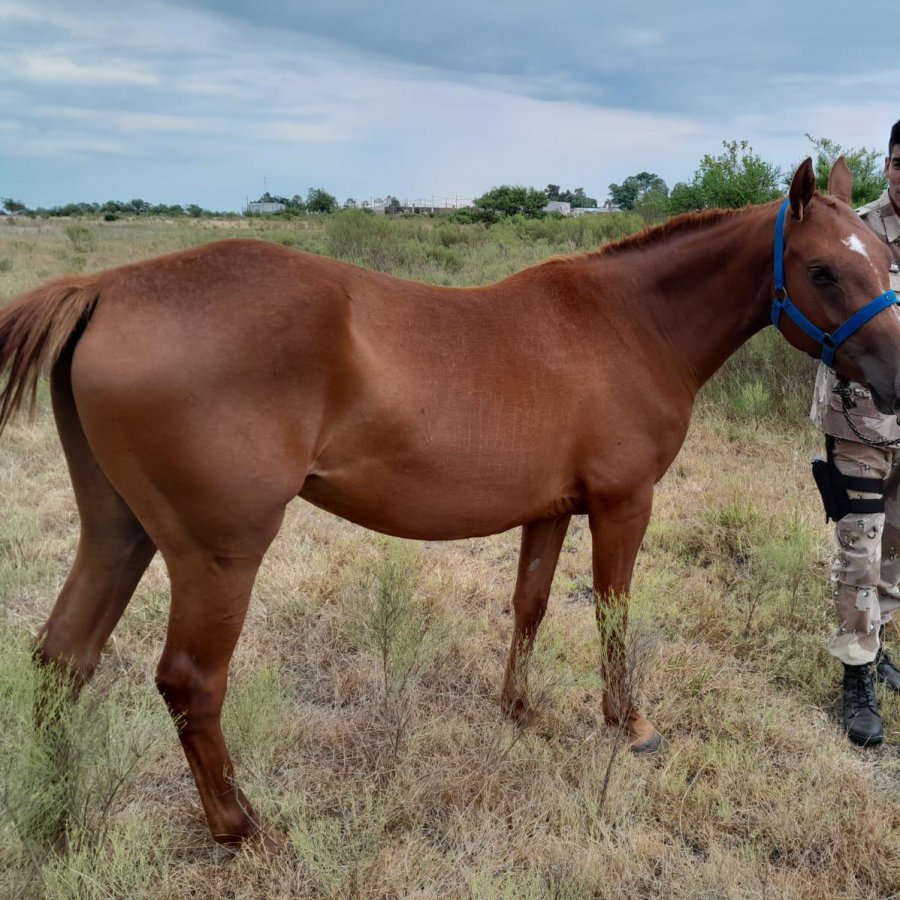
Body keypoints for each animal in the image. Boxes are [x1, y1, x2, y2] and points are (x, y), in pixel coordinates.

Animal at [1, 156, 900, 844]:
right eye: (823, 268)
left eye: (885, 259)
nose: (896, 380)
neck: (629, 322)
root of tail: (107, 287)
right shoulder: (622, 504)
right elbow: (612, 609)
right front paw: (630, 725)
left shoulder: (550, 509)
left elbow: (531, 603)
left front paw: (520, 710)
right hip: (217, 556)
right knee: (191, 682)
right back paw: (238, 826)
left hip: (117, 532)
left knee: (63, 657)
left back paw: (56, 808)